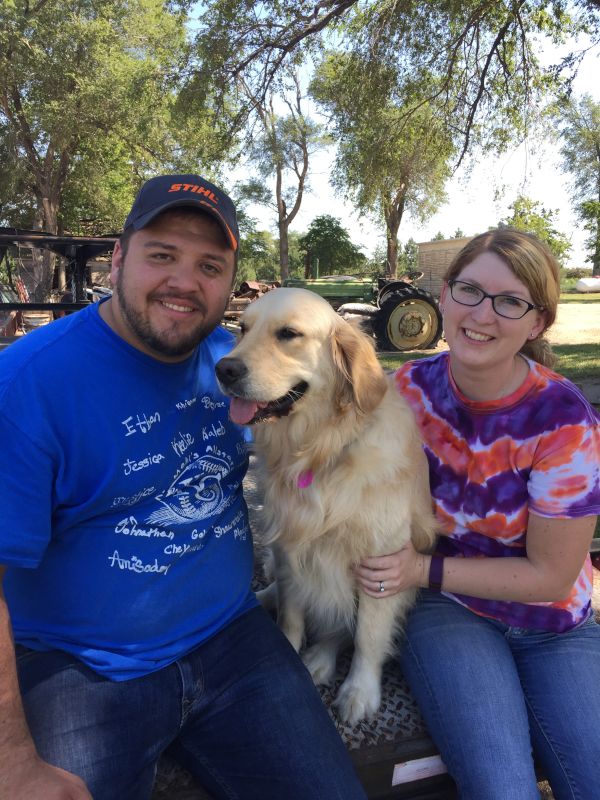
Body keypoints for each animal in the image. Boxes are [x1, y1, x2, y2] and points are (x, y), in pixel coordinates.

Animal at [216, 288, 436, 724]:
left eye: (289, 334)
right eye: (243, 329)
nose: (224, 369)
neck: (319, 451)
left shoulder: (382, 561)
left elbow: (367, 633)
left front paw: (360, 690)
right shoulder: (289, 548)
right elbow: (291, 614)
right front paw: (289, 645)